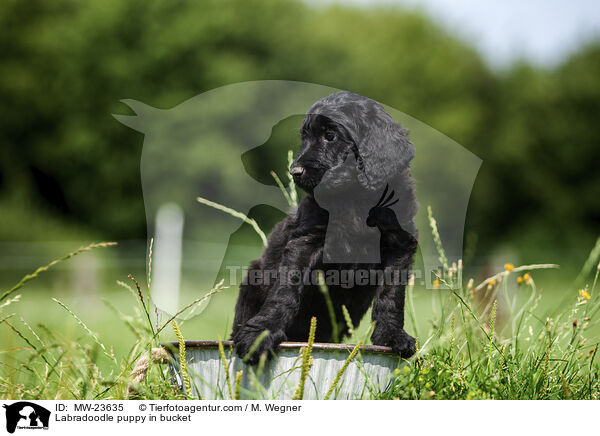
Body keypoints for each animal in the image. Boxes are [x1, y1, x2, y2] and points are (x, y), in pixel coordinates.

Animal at [232, 92, 420, 364]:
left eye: (330, 135)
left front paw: (391, 335)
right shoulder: (307, 240)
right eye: (305, 138)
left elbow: (391, 295)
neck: (354, 198)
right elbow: (284, 289)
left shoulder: (399, 245)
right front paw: (261, 333)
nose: (295, 171)